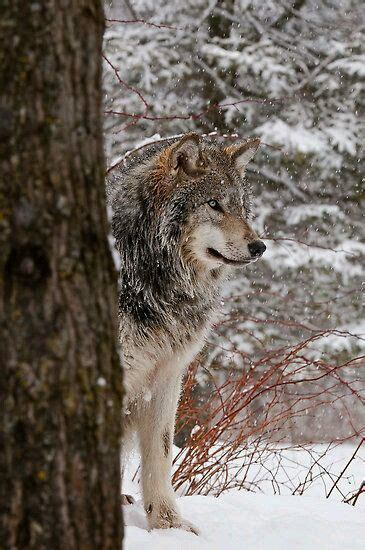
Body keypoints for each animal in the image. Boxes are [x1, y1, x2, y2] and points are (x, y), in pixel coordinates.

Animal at [106, 134, 266, 536]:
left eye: (240, 207)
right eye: (214, 204)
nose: (259, 247)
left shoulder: (166, 375)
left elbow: (161, 453)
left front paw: (167, 524)